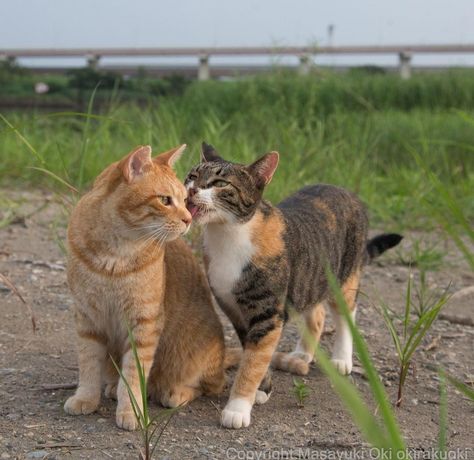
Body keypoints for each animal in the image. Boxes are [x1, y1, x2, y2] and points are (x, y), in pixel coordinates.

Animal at [64, 146, 231, 430]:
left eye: (184, 199)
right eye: (165, 200)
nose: (188, 219)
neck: (114, 255)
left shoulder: (144, 324)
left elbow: (133, 374)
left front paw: (131, 411)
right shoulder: (88, 319)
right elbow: (88, 365)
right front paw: (86, 398)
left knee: (209, 385)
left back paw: (174, 392)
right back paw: (112, 386)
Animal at [183, 142, 402, 430]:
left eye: (220, 183)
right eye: (192, 176)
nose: (191, 189)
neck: (228, 236)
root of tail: (345, 190)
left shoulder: (267, 313)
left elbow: (253, 361)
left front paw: (238, 407)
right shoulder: (234, 310)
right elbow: (253, 354)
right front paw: (261, 390)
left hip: (344, 274)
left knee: (346, 312)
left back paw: (342, 358)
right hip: (310, 278)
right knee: (316, 314)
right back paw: (302, 354)